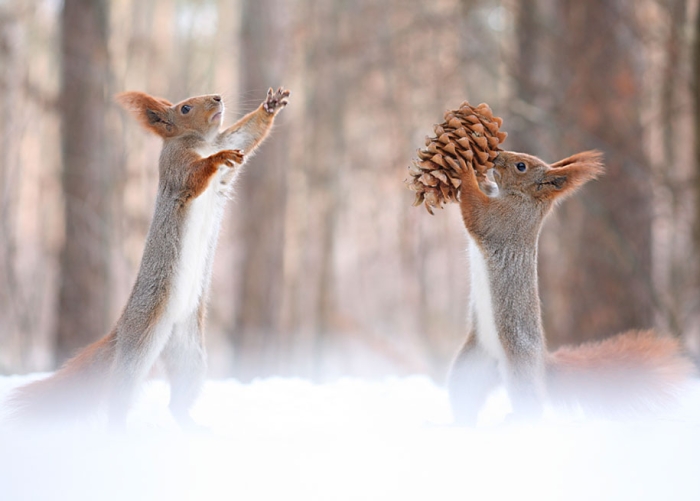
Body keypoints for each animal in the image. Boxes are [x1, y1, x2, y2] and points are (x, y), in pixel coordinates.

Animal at [6, 87, 290, 429]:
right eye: (184, 108)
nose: (218, 98)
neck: (201, 142)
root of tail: (122, 330)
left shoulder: (228, 142)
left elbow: (246, 136)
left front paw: (270, 106)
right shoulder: (176, 168)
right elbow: (194, 176)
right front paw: (216, 159)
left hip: (190, 354)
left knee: (178, 398)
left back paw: (191, 426)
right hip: (140, 344)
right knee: (120, 392)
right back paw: (119, 430)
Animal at [448, 149, 696, 425]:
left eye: (521, 166)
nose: (497, 156)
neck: (524, 199)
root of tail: (543, 365)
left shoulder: (504, 221)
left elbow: (476, 213)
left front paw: (465, 171)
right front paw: (477, 172)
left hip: (521, 364)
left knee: (531, 404)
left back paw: (516, 421)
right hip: (471, 368)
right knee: (464, 397)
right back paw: (458, 424)